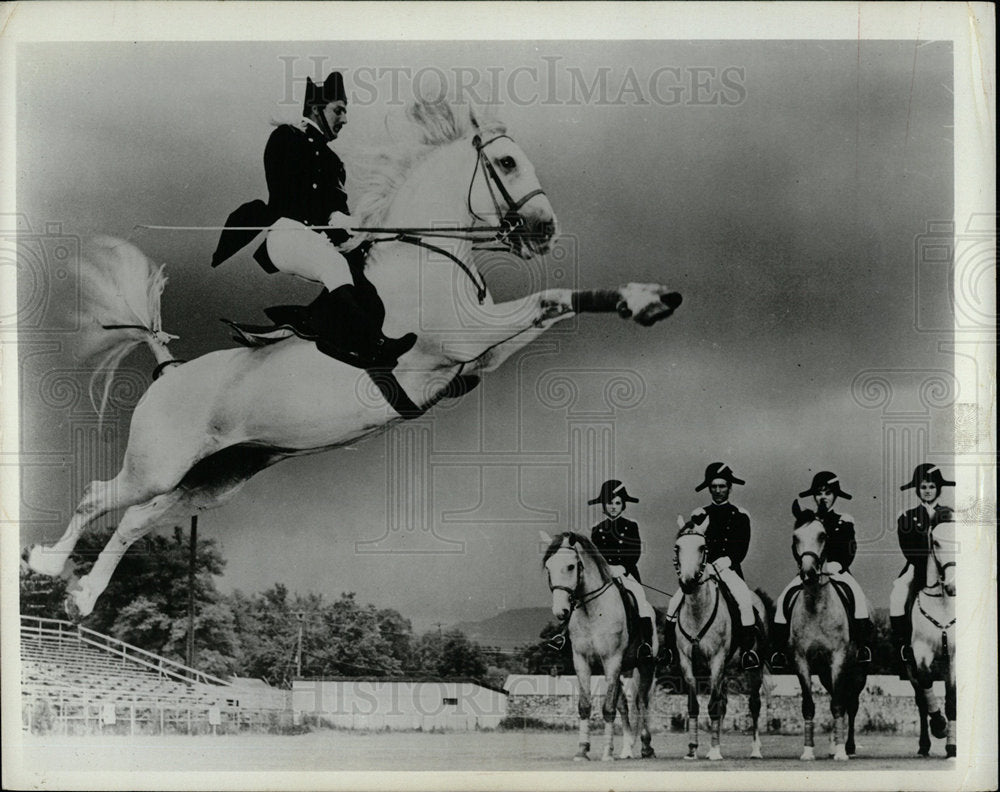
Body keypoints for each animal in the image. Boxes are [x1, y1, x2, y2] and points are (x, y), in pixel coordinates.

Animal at [27, 97, 684, 620]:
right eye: (506, 163)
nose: (544, 230)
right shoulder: (468, 337)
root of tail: (170, 370)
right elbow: (549, 298)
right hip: (160, 466)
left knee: (134, 521)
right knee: (96, 497)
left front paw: (645, 297)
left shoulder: (480, 355)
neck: (429, 254)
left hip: (215, 478)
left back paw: (82, 597)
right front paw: (643, 299)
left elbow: (551, 309)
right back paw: (46, 564)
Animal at [544, 532, 660, 760]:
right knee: (624, 705)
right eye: (548, 567)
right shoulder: (582, 662)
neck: (592, 611)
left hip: (645, 665)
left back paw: (645, 747)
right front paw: (582, 750)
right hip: (624, 669)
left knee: (642, 702)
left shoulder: (611, 660)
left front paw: (607, 752)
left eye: (571, 566)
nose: (560, 611)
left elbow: (608, 708)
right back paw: (626, 749)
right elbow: (585, 706)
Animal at [672, 512, 764, 760]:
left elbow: (712, 705)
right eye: (677, 547)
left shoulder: (716, 661)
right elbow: (694, 705)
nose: (687, 582)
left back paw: (755, 749)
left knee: (754, 704)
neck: (697, 611)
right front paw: (693, 749)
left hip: (754, 668)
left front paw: (713, 751)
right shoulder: (687, 663)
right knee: (723, 702)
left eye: (703, 547)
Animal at [788, 502, 868, 760]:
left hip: (858, 671)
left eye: (823, 535)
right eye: (795, 537)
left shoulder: (838, 659)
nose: (808, 573)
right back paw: (835, 744)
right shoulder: (801, 661)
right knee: (836, 697)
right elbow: (809, 705)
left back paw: (847, 746)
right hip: (824, 672)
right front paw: (808, 751)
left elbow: (840, 705)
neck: (816, 607)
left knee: (850, 704)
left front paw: (842, 752)